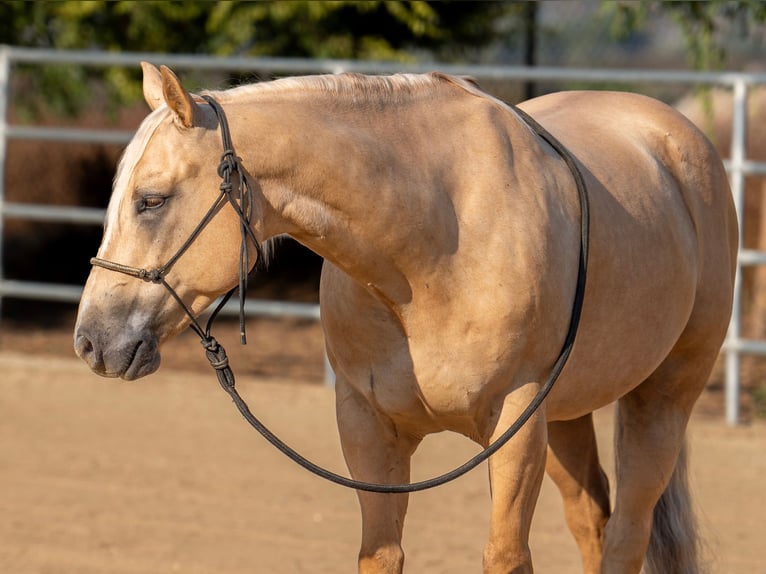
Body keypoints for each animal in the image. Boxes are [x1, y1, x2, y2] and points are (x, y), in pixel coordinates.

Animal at [75, 64, 740, 574]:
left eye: (152, 200)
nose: (91, 341)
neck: (428, 254)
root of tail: (677, 140)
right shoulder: (368, 426)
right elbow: (381, 554)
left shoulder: (517, 423)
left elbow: (506, 557)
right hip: (568, 416)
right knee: (593, 520)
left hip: (662, 399)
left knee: (627, 532)